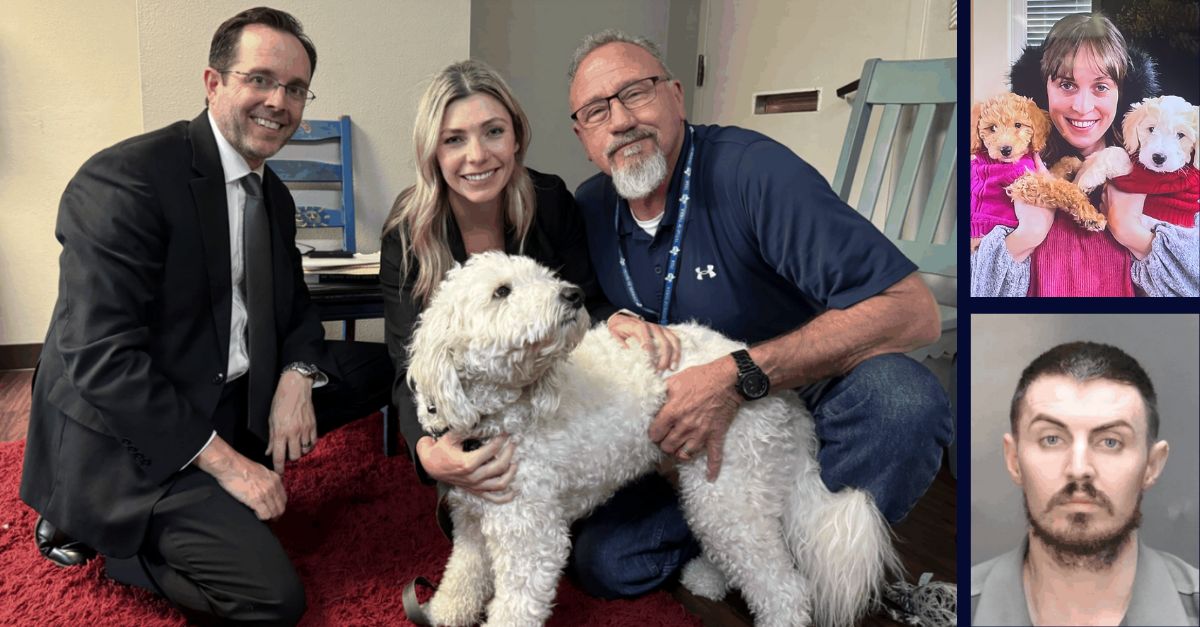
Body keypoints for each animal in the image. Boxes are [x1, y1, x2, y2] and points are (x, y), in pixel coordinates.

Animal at [405, 251, 902, 624]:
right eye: (502, 291)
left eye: (543, 275)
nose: (573, 294)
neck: (503, 413)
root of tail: (782, 394)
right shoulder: (471, 518)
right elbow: (463, 574)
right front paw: (443, 612)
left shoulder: (531, 539)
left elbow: (516, 607)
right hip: (712, 487)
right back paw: (708, 578)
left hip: (729, 489)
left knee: (785, 590)